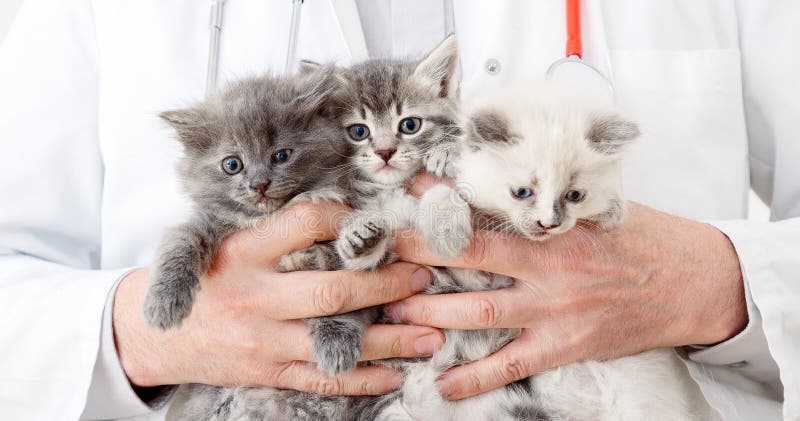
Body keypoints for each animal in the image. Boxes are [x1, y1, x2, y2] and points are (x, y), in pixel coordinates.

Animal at [141, 69, 354, 330]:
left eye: (281, 155)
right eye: (232, 164)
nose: (259, 184)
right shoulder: (208, 219)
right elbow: (181, 239)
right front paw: (163, 303)